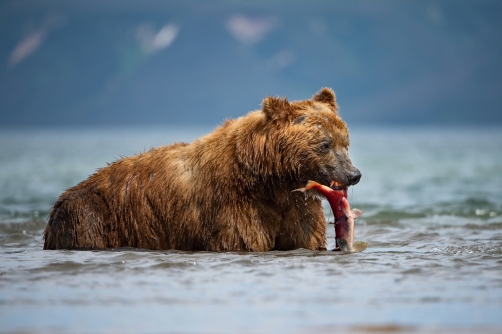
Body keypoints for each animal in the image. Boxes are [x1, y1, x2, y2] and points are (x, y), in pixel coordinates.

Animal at [43, 88, 360, 250]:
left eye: (346, 142)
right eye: (325, 144)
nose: (353, 174)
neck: (271, 179)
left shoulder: (295, 204)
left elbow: (304, 237)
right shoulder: (234, 204)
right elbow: (244, 240)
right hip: (92, 214)